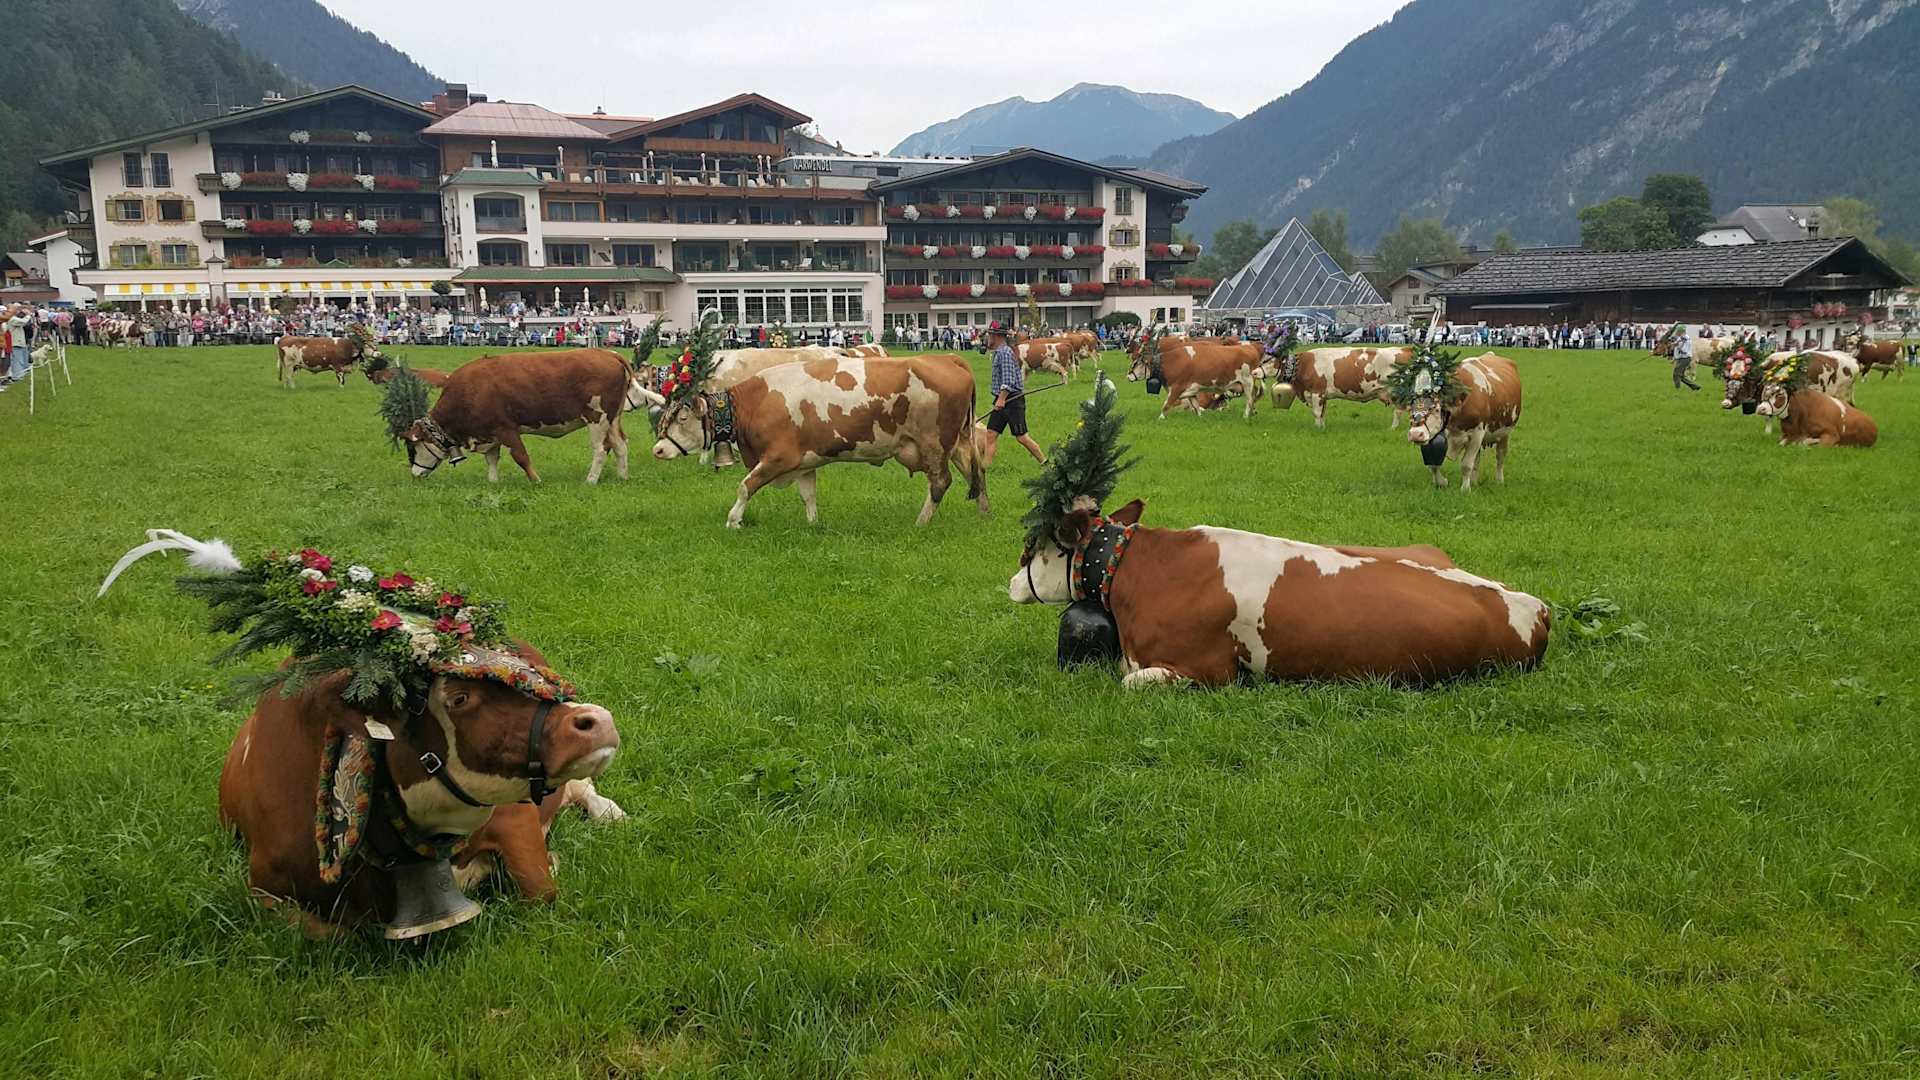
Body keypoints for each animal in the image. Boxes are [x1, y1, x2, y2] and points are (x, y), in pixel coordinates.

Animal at [217, 647, 623, 939]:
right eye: (459, 698)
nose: (596, 720)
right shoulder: (264, 890)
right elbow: (329, 934)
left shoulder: (512, 814)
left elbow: (541, 891)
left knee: (581, 787)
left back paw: (609, 812)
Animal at [396, 349, 633, 484]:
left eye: (412, 449)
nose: (415, 475)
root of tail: (609, 354)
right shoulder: (489, 432)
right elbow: (491, 459)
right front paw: (493, 482)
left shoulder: (506, 429)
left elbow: (521, 457)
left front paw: (536, 481)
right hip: (613, 419)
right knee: (620, 446)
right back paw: (622, 476)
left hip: (597, 418)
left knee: (601, 450)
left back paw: (591, 480)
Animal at [652, 354, 988, 528]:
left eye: (682, 419)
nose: (658, 449)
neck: (757, 402)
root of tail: (946, 357)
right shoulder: (804, 461)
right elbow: (808, 495)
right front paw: (813, 524)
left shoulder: (779, 457)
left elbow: (745, 487)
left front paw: (734, 520)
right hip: (957, 442)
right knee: (977, 472)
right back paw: (985, 513)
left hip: (934, 442)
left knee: (941, 482)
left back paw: (921, 522)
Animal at [1280, 347, 1413, 429]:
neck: (1305, 364)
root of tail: (1404, 349)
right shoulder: (1323, 395)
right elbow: (1322, 413)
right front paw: (1322, 428)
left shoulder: (1317, 393)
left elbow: (1317, 413)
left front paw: (1317, 428)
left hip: (1397, 392)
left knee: (1400, 410)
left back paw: (1393, 428)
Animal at [1404, 353, 1522, 491]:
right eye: (1410, 408)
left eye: (1436, 409)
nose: (1415, 434)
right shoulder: (1434, 435)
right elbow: (1433, 464)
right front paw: (1442, 482)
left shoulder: (1477, 433)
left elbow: (1466, 464)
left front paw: (1465, 489)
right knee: (1477, 460)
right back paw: (1474, 481)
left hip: (1505, 432)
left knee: (1500, 456)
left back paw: (1499, 480)